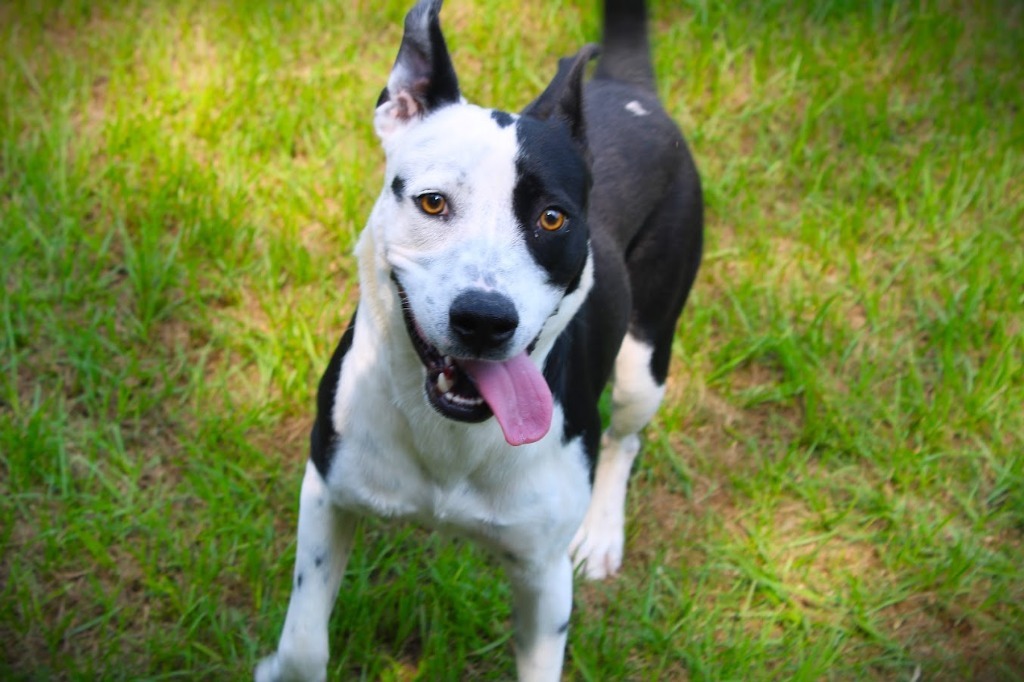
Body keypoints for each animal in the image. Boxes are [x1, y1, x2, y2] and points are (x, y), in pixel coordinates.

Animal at [258, 1, 704, 675]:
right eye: (432, 202)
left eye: (552, 218)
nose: (486, 319)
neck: (454, 436)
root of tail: (627, 90)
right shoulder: (327, 490)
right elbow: (303, 645)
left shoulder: (544, 580)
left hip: (644, 361)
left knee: (625, 439)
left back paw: (602, 531)